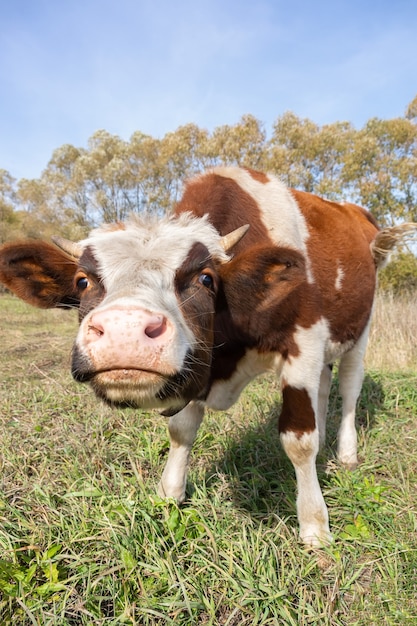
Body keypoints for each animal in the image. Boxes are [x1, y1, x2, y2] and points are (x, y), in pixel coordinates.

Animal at [1, 165, 414, 540]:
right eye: (83, 281)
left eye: (205, 279)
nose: (125, 329)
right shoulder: (197, 366)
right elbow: (182, 430)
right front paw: (169, 494)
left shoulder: (305, 343)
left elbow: (299, 440)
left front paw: (314, 525)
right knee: (326, 386)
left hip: (360, 331)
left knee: (349, 388)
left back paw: (345, 453)